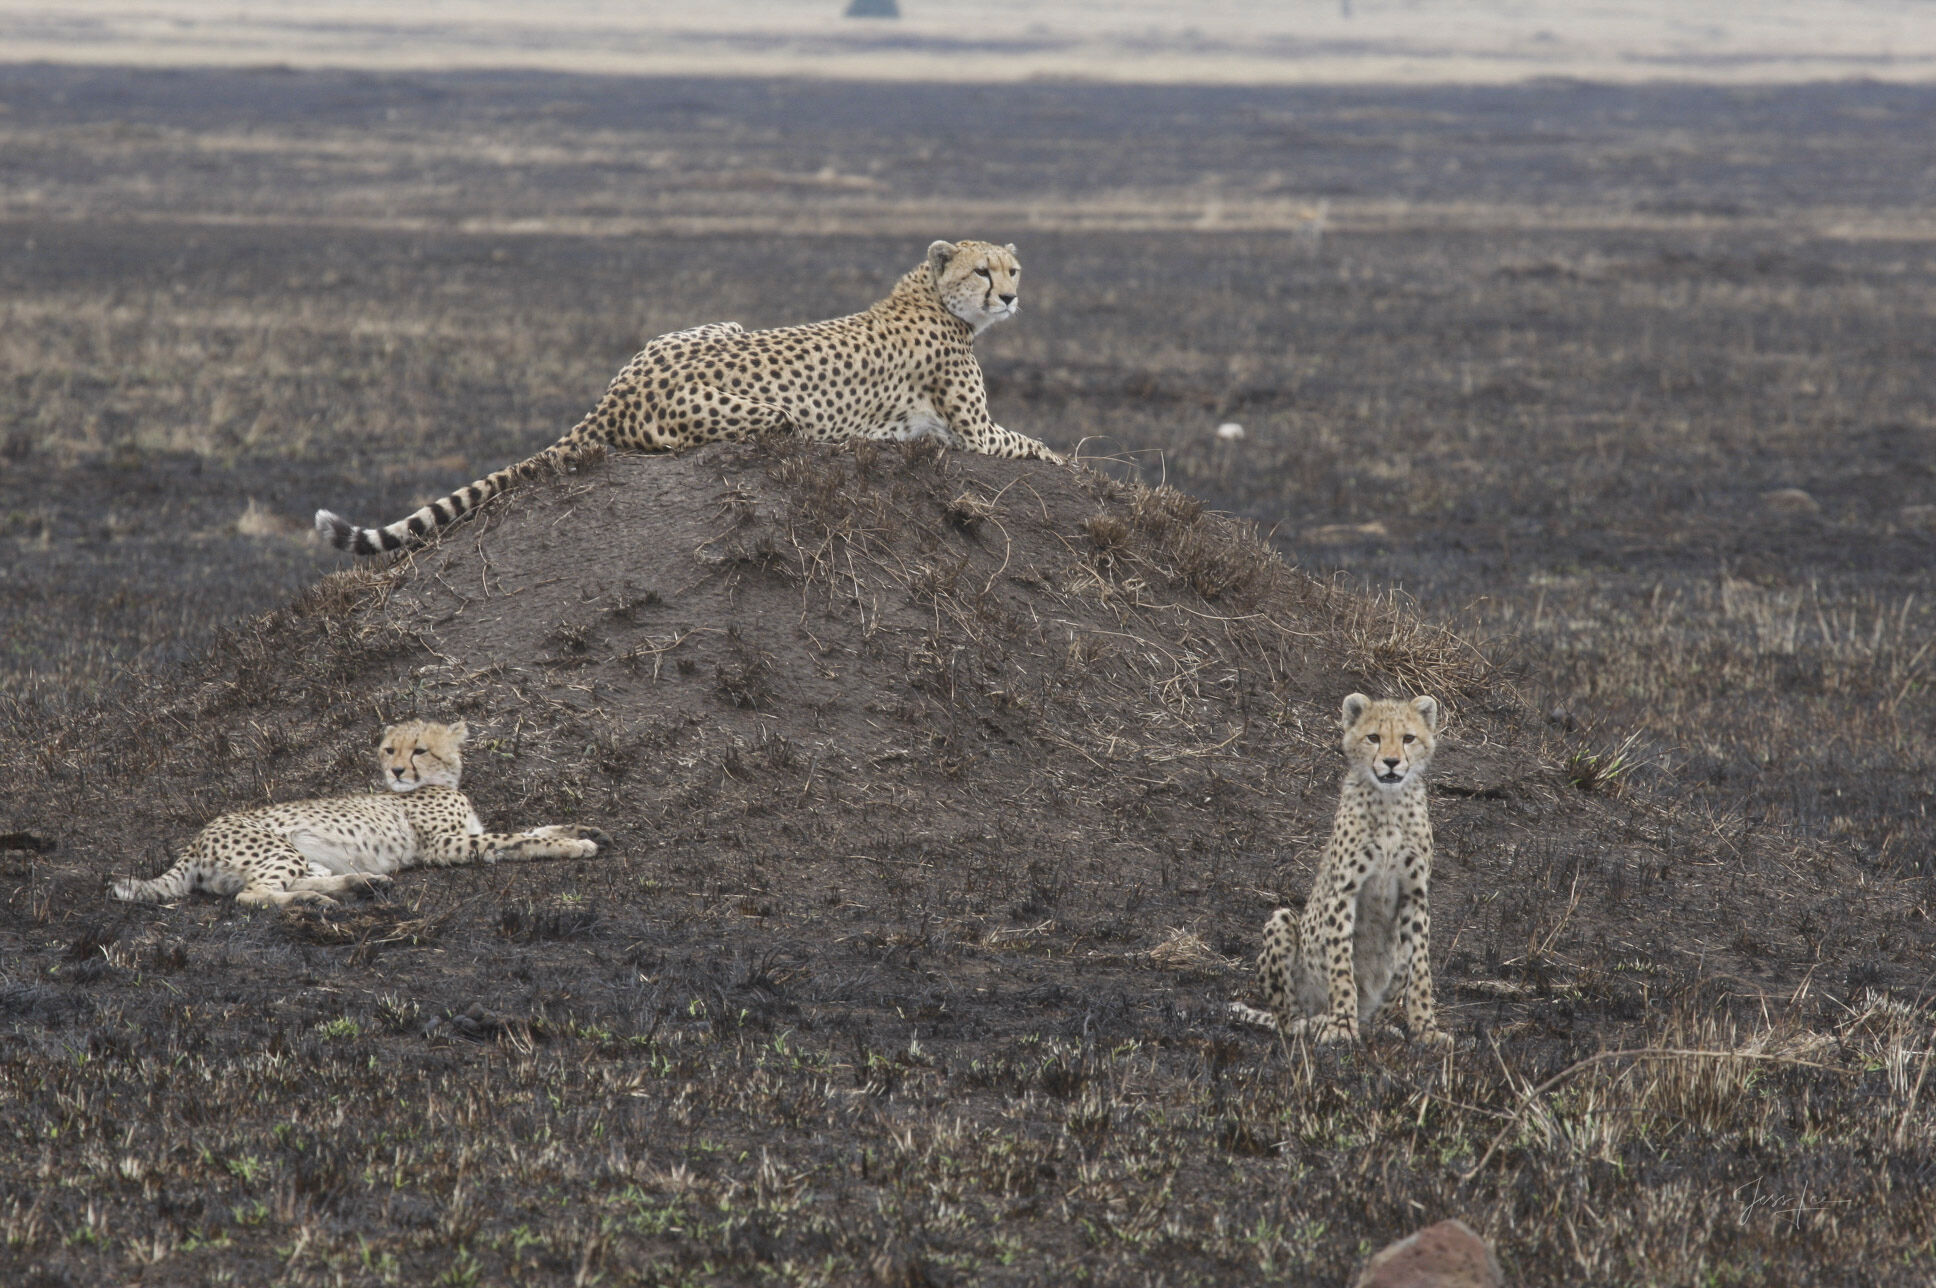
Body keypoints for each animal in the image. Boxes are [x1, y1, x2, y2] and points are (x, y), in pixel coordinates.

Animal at [110, 720, 609, 909]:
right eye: (390, 750)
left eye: (419, 750)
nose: (396, 771)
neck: (439, 783)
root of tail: (194, 840)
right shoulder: (445, 846)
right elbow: (521, 839)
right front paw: (575, 844)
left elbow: (531, 827)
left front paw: (585, 827)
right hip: (280, 849)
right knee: (253, 896)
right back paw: (317, 903)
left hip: (300, 857)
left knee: (290, 882)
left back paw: (360, 884)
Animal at [315, 239, 1064, 556]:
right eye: (983, 271)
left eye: (1014, 267)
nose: (1011, 296)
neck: (929, 292)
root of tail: (617, 393)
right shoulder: (974, 432)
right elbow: (1038, 447)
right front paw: (1068, 461)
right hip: (771, 415)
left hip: (718, 323)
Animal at [1230, 693, 1453, 1049]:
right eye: (1373, 737)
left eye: (1408, 738)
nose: (1391, 762)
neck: (1388, 803)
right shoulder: (1344, 891)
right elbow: (1340, 965)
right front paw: (1341, 1026)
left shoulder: (1416, 896)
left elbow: (1421, 972)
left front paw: (1426, 1030)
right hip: (1282, 922)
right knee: (1287, 1018)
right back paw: (1315, 1023)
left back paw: (1373, 1027)